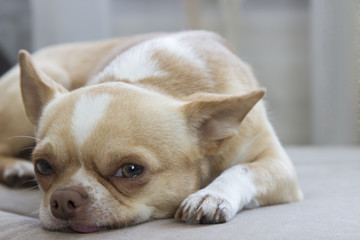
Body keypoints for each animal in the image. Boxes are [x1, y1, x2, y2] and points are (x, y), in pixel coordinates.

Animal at [0, 31, 300, 232]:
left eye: (131, 170)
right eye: (43, 166)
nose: (63, 198)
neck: (151, 80)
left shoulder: (278, 164)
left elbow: (242, 169)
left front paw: (212, 196)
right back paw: (15, 168)